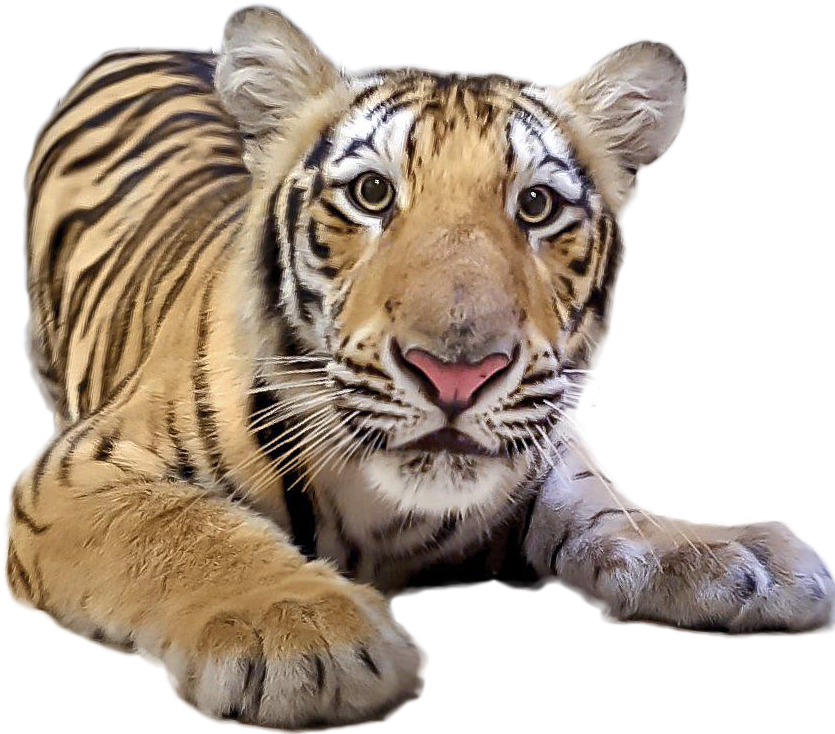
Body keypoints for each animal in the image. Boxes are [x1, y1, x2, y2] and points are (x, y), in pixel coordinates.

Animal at [7, 2, 834, 731]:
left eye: (536, 206)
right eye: (372, 193)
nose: (456, 373)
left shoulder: (547, 440)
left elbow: (604, 502)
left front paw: (727, 551)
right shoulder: (76, 471)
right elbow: (183, 526)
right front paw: (299, 628)